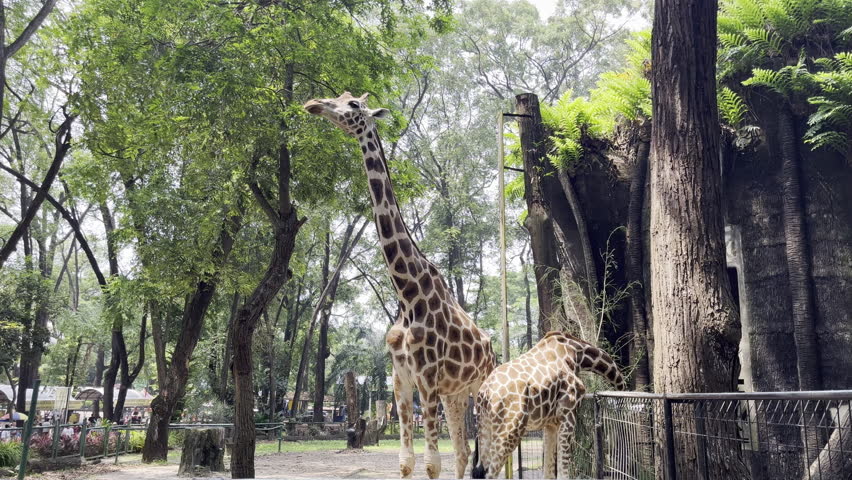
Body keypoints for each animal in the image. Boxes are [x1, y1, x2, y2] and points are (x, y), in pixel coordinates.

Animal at [304, 92, 496, 479]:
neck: (407, 294)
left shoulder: (428, 380)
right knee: (465, 453)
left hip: (478, 389)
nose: (314, 103)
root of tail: (493, 349)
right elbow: (407, 461)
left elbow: (432, 464)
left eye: (354, 105)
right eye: (340, 97)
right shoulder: (401, 381)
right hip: (455, 394)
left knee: (488, 459)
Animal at [471, 331, 626, 479]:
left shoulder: (550, 423)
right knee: (491, 472)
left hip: (485, 427)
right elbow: (563, 472)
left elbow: (549, 472)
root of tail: (485, 393)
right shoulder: (568, 414)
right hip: (511, 429)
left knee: (480, 470)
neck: (576, 354)